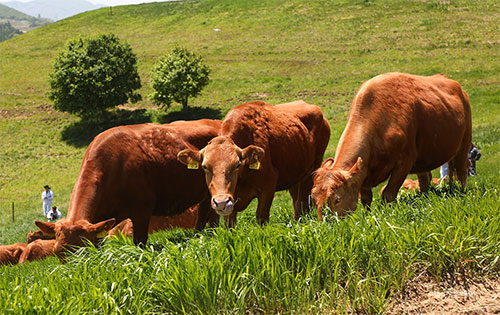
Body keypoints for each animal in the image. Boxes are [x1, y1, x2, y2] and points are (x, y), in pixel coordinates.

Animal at [178, 100, 330, 226]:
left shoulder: (267, 189)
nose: (221, 202)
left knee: (304, 202)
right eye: (205, 167)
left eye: (237, 164)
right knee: (296, 201)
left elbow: (261, 218)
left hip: (312, 168)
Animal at [312, 73, 472, 218]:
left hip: (464, 144)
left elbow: (388, 194)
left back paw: (461, 192)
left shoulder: (404, 163)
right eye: (314, 198)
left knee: (462, 170)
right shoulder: (364, 172)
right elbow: (366, 199)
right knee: (426, 179)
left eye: (337, 199)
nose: (326, 223)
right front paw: (367, 217)